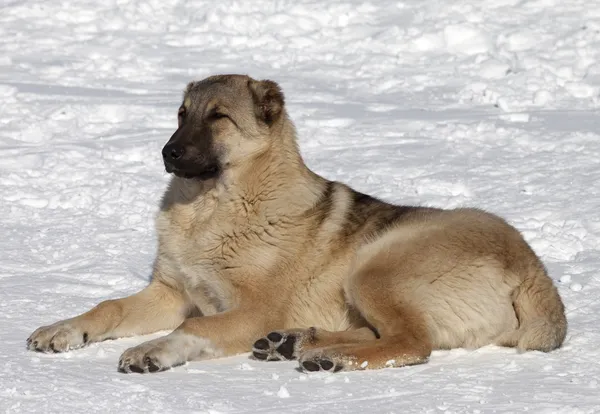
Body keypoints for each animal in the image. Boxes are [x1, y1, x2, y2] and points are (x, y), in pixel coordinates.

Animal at [27, 74, 568, 376]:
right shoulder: (170, 293)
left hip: (375, 265)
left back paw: (328, 357)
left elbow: (197, 327)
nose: (168, 152)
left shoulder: (252, 310)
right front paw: (63, 329)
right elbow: (109, 307)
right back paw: (296, 343)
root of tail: (534, 271)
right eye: (181, 114)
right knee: (387, 334)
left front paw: (153, 350)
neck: (212, 207)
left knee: (413, 343)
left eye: (218, 117)